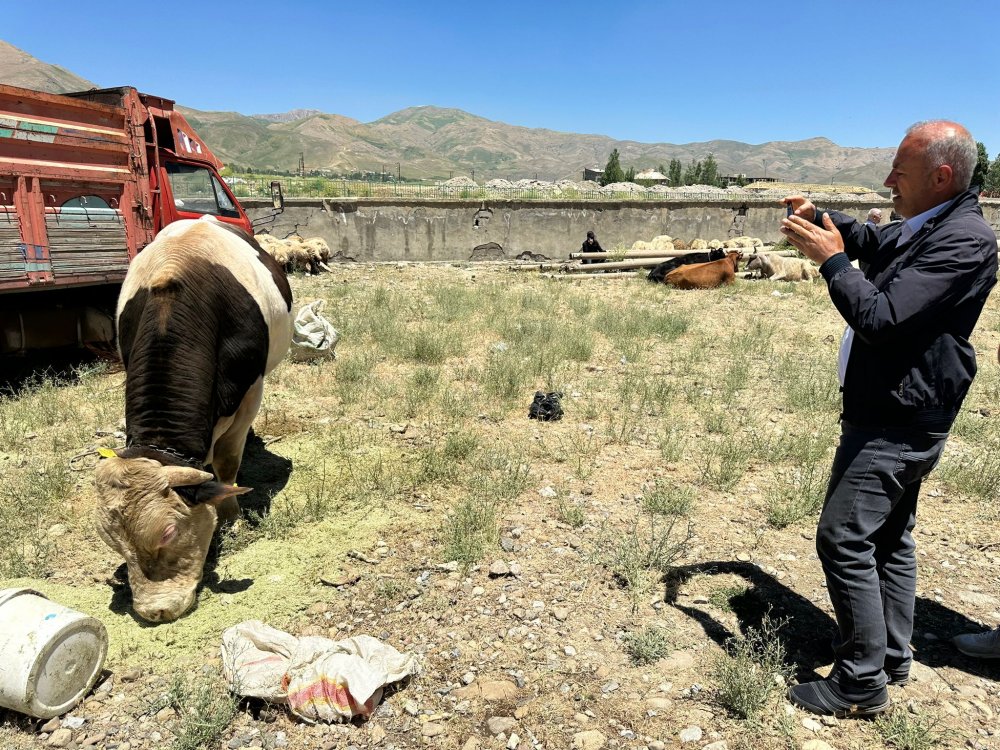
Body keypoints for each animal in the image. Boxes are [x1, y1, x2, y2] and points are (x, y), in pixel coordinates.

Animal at [94, 218, 293, 623]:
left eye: (168, 533)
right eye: (114, 543)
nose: (154, 612)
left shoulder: (250, 391)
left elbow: (227, 463)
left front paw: (231, 517)